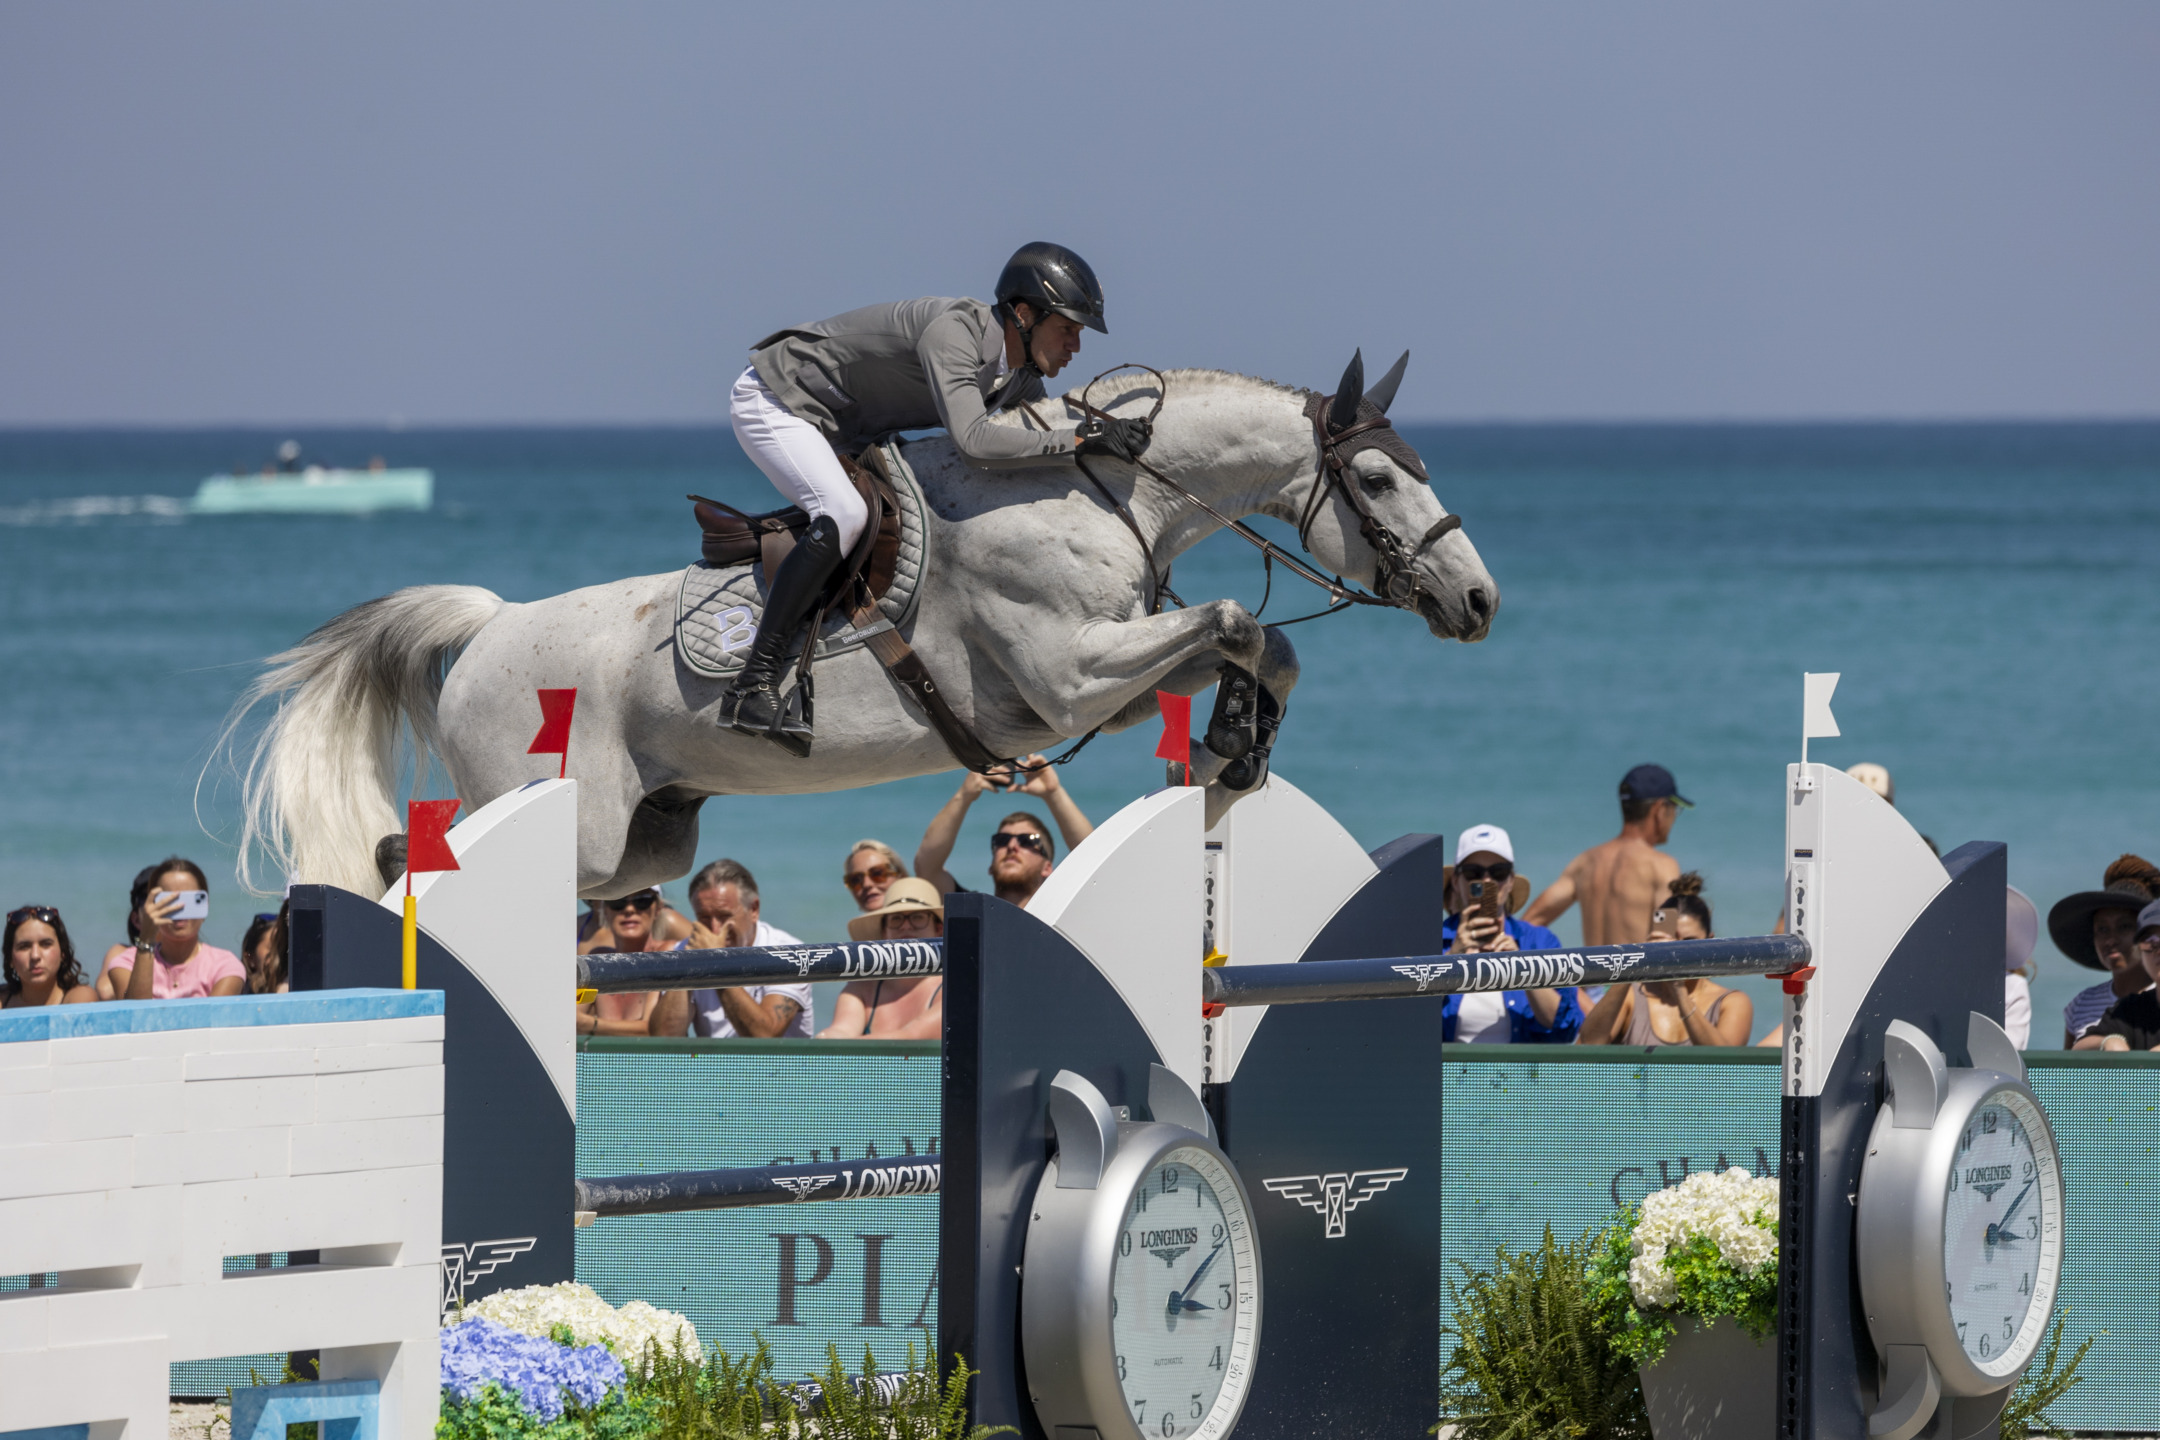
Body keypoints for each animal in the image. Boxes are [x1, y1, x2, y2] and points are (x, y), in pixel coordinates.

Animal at [227, 354, 1494, 893]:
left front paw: (1237, 745)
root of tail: (490, 627)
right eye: (1377, 482)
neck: (1103, 487)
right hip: (551, 813)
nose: (1478, 601)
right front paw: (1236, 740)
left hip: (646, 842)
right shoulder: (1070, 677)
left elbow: (1261, 640)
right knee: (416, 860)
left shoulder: (1107, 685)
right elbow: (1237, 616)